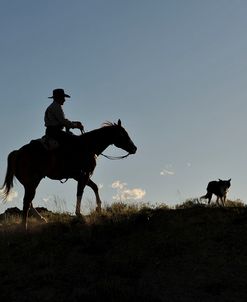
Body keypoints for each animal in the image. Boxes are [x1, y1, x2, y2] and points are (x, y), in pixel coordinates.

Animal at [0, 120, 137, 229]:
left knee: (29, 201)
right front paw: (79, 214)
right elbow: (80, 192)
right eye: (123, 134)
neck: (89, 146)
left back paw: (40, 219)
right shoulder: (83, 174)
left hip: (29, 183)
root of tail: (18, 152)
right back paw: (25, 226)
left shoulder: (79, 176)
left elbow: (94, 187)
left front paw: (98, 208)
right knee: (27, 201)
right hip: (33, 181)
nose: (134, 148)